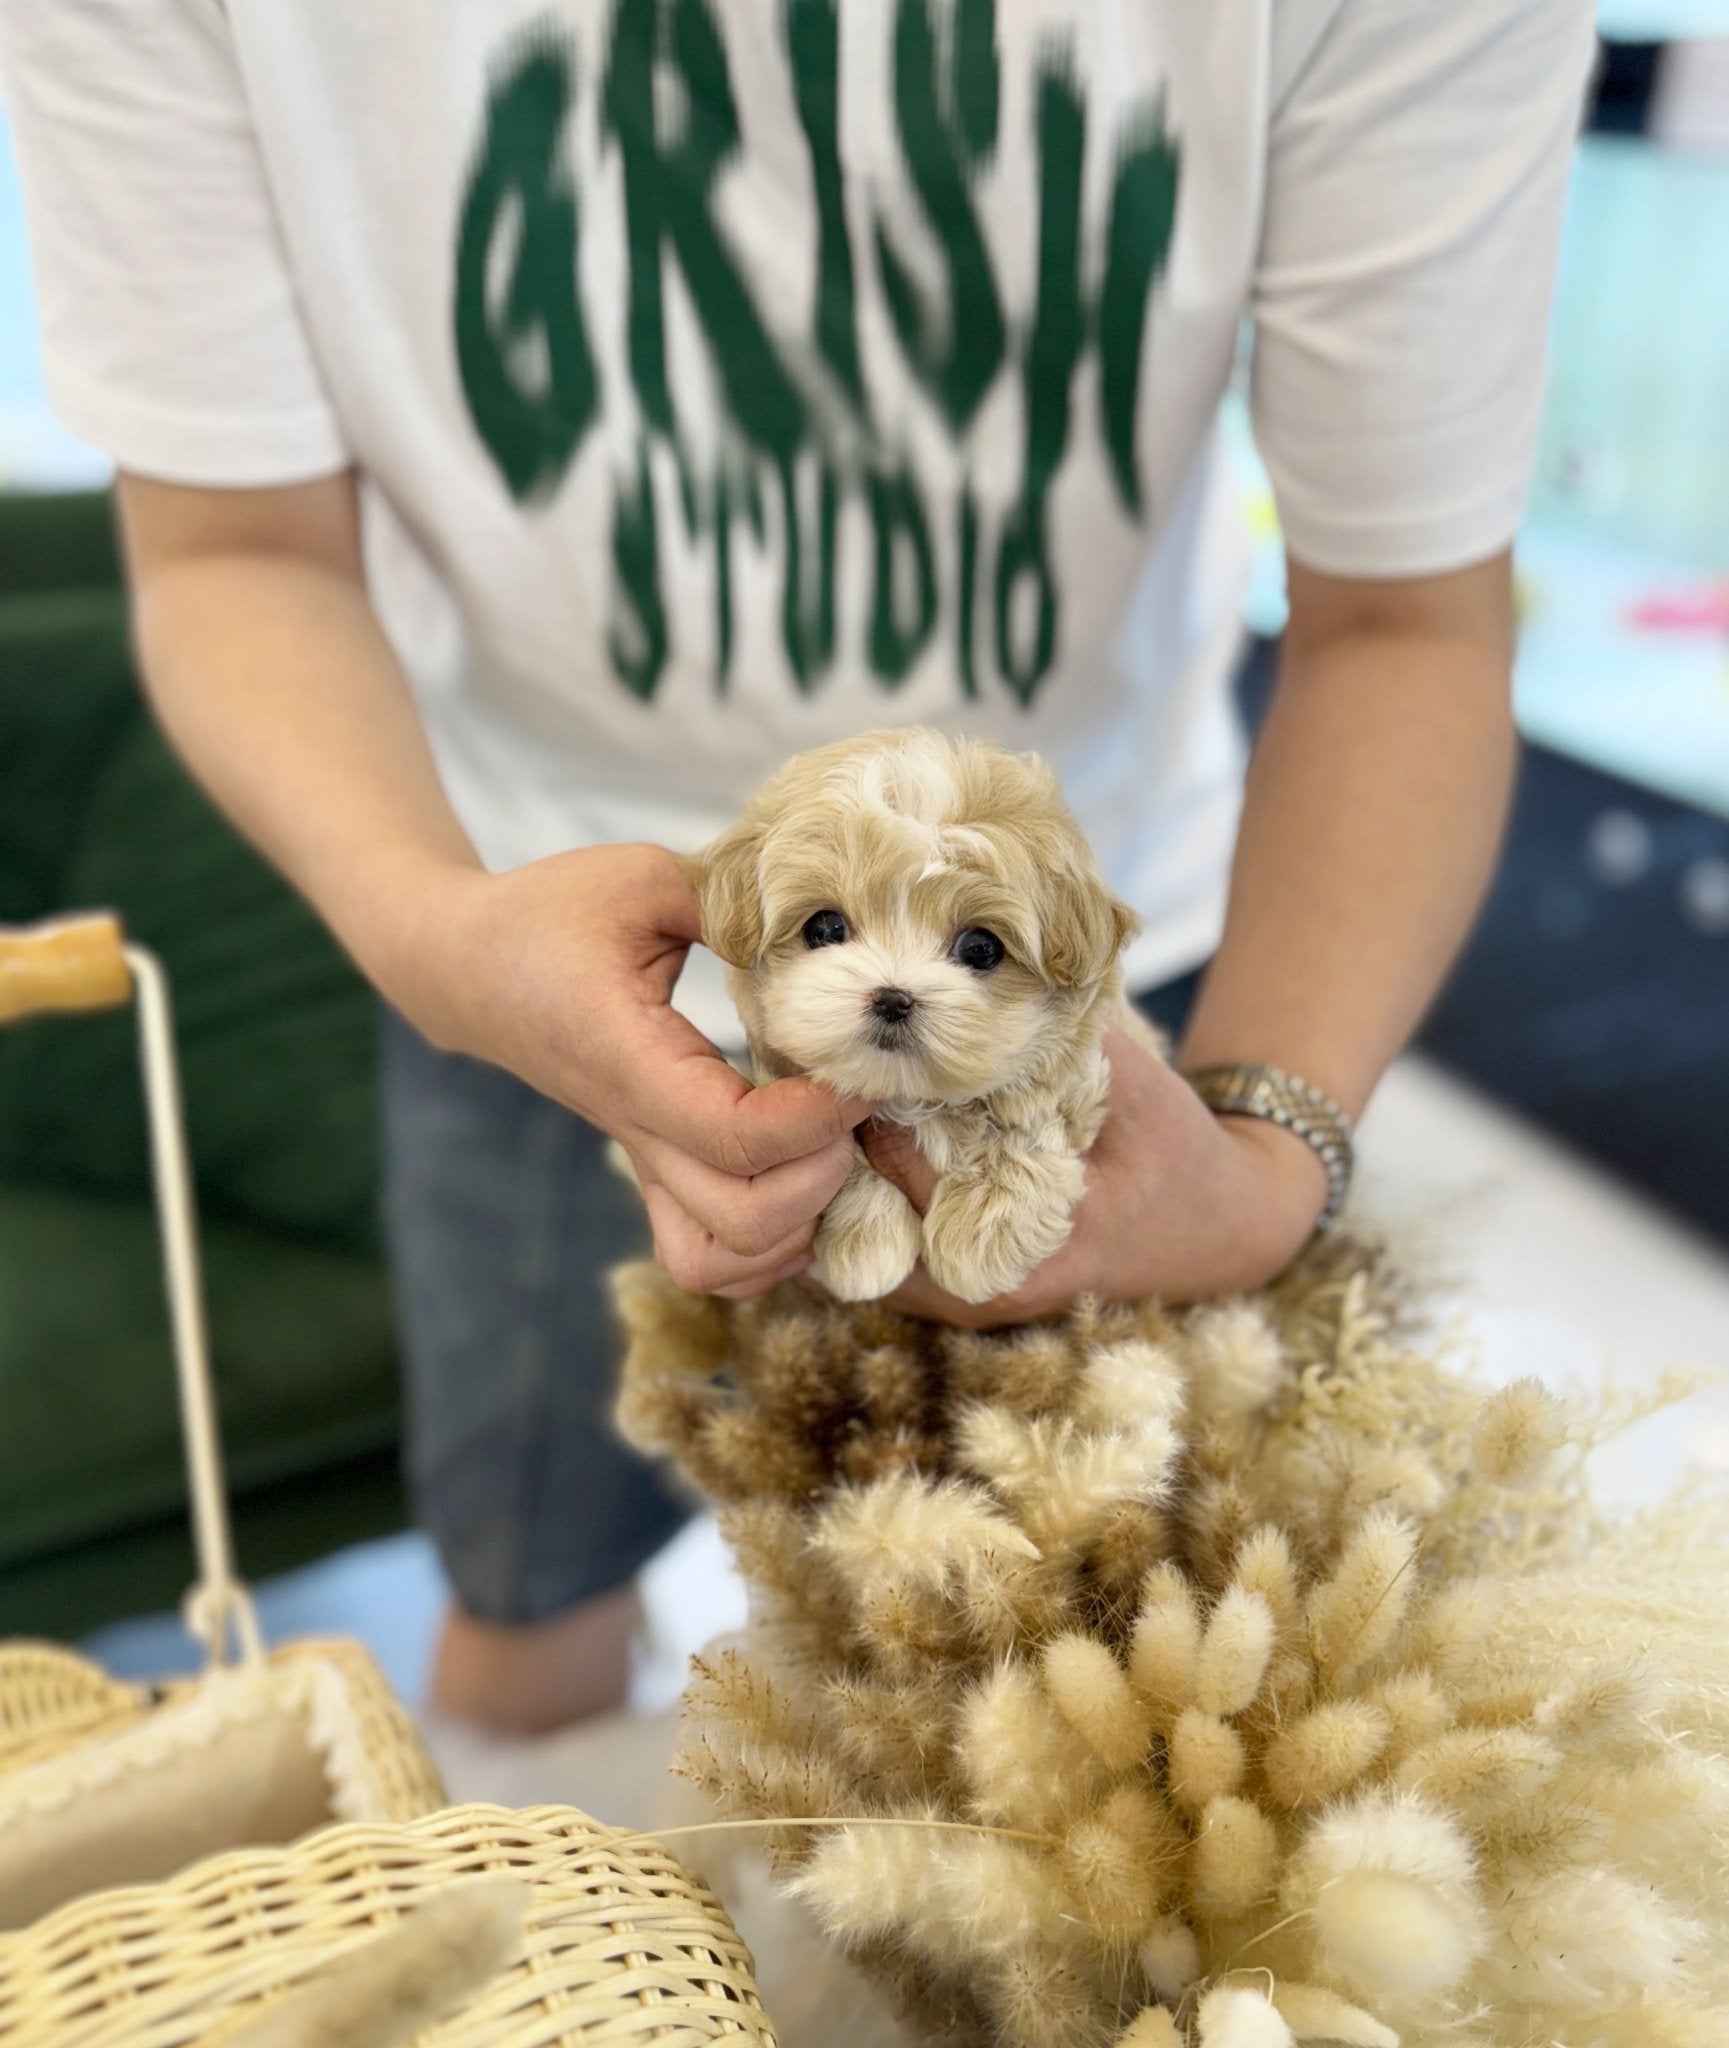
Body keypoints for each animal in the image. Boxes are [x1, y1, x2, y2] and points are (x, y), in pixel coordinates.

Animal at [680, 733, 1139, 1294]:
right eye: (825, 928)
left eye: (981, 948)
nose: (893, 998)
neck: (914, 1098)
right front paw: (865, 1243)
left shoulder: (1078, 1071)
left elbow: (1032, 1117)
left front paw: (978, 1238)